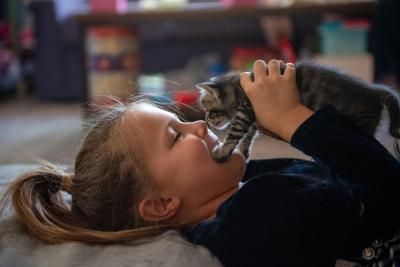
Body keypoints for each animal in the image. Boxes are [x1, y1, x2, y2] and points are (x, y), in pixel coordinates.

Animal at [196, 60, 400, 162]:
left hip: (360, 124)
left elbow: (235, 133)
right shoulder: (253, 117)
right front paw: (244, 152)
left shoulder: (246, 110)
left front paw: (223, 153)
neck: (238, 87)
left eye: (210, 112)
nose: (206, 122)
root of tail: (373, 91)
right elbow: (249, 135)